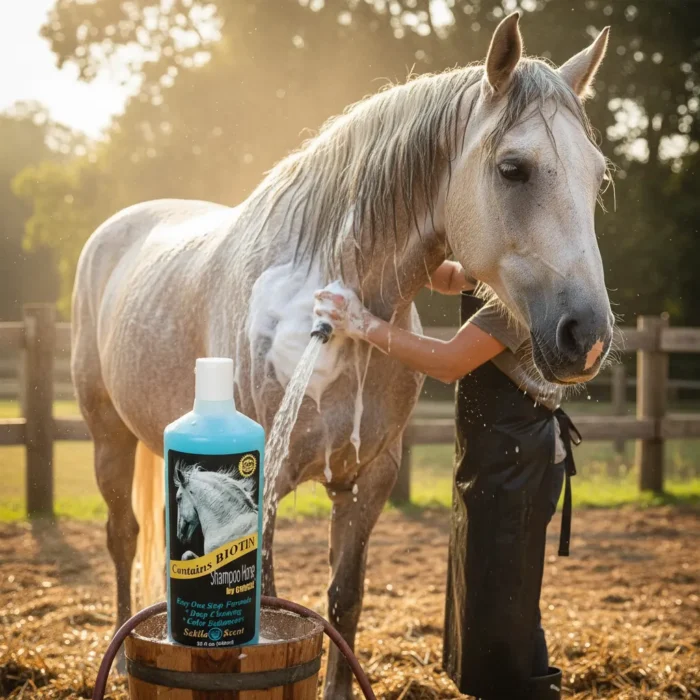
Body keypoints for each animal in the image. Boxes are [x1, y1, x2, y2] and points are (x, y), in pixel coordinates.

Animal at [71, 14, 614, 698]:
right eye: (513, 168)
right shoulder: (268, 481)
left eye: (597, 176)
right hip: (105, 434)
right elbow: (270, 591)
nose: (587, 335)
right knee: (122, 537)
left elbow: (343, 600)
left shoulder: (370, 476)